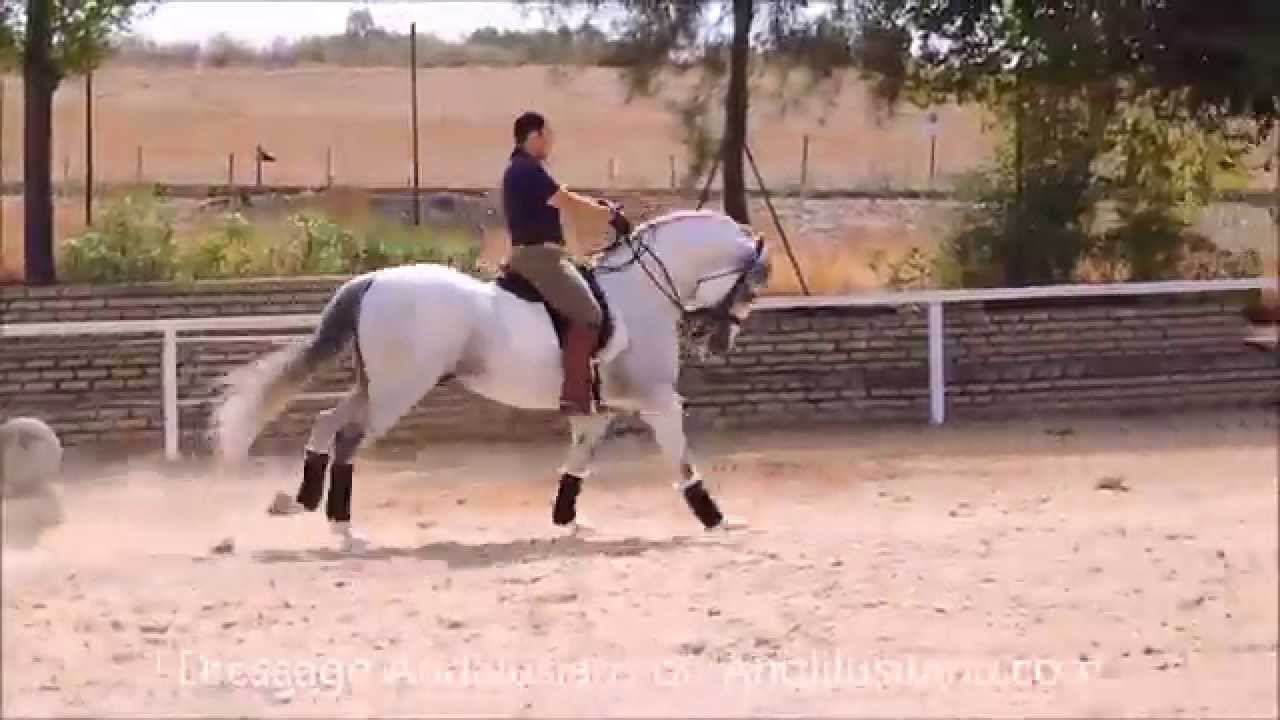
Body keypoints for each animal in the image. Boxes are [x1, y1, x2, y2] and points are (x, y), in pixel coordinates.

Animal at [213, 209, 772, 550]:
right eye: (751, 289)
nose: (716, 342)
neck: (641, 291)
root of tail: (374, 280)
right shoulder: (658, 400)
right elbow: (681, 458)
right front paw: (718, 519)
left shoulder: (597, 410)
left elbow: (579, 460)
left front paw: (569, 520)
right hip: (399, 390)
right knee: (348, 437)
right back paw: (344, 527)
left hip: (377, 385)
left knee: (328, 421)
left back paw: (304, 500)